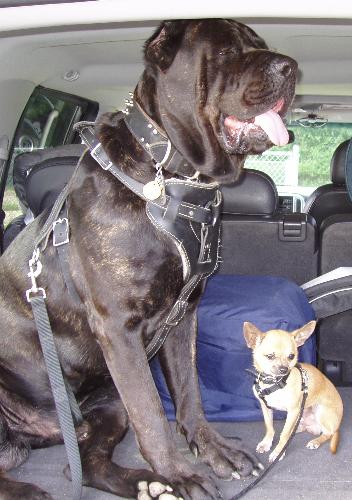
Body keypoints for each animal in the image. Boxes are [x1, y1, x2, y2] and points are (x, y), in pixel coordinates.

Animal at [0, 19, 296, 500]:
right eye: (225, 52)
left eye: (261, 45)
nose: (289, 67)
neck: (173, 174)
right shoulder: (119, 329)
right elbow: (152, 414)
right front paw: (182, 474)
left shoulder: (184, 315)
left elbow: (189, 392)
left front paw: (211, 449)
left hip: (106, 403)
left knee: (85, 464)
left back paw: (147, 484)